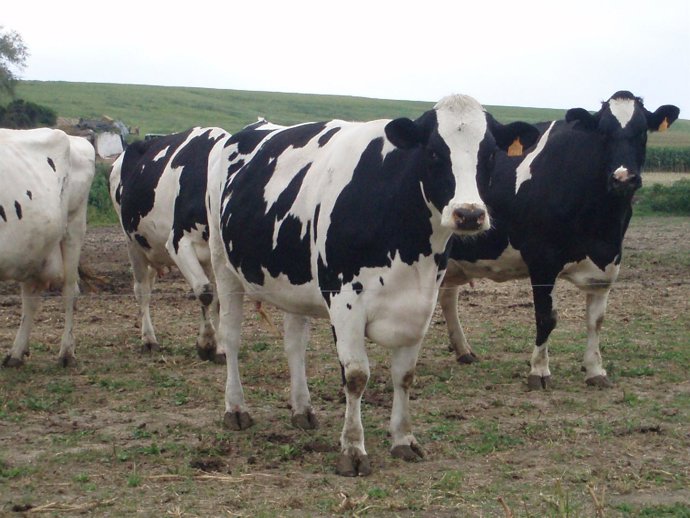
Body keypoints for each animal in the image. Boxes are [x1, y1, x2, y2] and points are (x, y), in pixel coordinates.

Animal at [1, 128, 95, 367]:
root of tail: (75, 139)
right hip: (33, 247)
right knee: (30, 297)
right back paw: (16, 353)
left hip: (73, 227)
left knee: (70, 290)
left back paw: (66, 353)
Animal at [109, 127, 230, 362]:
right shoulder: (178, 243)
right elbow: (205, 292)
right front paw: (206, 344)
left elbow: (219, 299)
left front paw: (219, 348)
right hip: (132, 243)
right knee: (141, 290)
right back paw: (148, 339)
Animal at [206, 95, 540, 476]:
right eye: (434, 152)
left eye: (491, 154)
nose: (469, 214)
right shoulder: (345, 301)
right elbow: (355, 376)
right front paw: (352, 449)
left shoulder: (420, 305)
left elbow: (405, 375)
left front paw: (404, 439)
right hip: (223, 264)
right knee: (232, 337)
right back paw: (236, 409)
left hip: (293, 281)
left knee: (294, 346)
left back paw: (302, 409)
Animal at [439, 91, 680, 389]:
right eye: (603, 133)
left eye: (642, 131)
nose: (623, 178)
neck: (602, 225)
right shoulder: (542, 259)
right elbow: (546, 317)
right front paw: (539, 371)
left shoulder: (607, 264)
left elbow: (595, 321)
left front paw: (595, 370)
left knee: (447, 296)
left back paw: (463, 351)